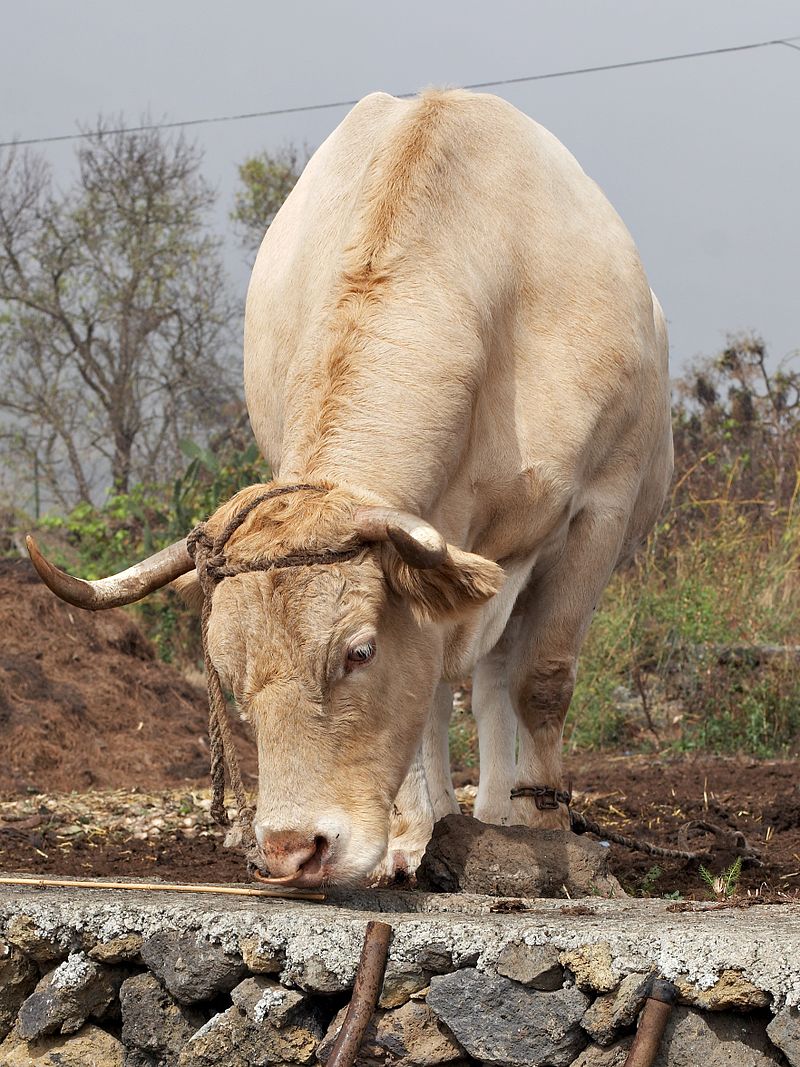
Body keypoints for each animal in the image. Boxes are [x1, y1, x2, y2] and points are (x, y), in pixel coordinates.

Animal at [28, 91, 674, 892]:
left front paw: (544, 829)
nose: (290, 850)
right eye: (231, 676)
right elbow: (426, 693)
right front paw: (414, 836)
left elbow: (543, 680)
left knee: (497, 678)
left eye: (359, 652)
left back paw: (500, 809)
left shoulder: (598, 510)